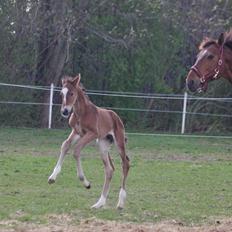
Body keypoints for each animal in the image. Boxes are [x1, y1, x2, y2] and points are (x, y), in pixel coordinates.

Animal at [47, 75, 130, 210]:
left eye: (72, 93)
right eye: (61, 93)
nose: (65, 111)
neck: (81, 112)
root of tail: (115, 116)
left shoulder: (92, 133)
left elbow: (76, 150)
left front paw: (85, 182)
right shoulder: (76, 132)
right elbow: (65, 145)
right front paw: (52, 177)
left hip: (119, 141)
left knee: (125, 163)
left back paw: (120, 203)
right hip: (102, 144)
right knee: (109, 169)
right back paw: (99, 203)